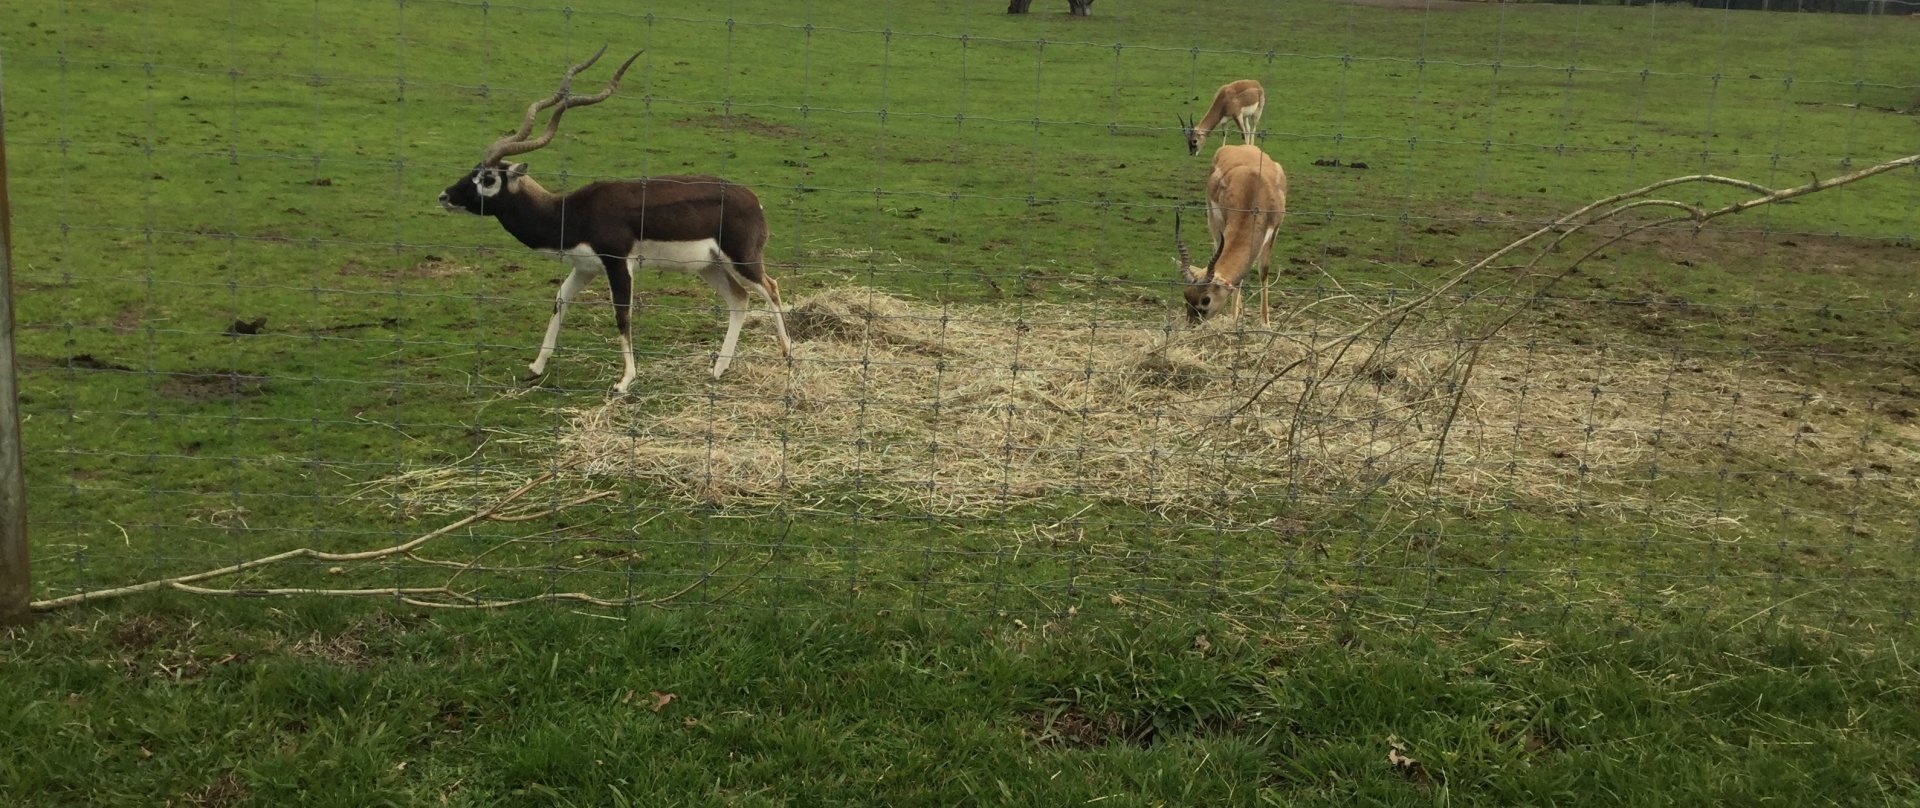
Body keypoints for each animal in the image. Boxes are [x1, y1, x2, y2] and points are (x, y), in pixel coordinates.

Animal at [436, 46, 792, 395]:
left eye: (487, 179)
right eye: (474, 170)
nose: (444, 196)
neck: (569, 212)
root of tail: (753, 200)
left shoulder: (618, 263)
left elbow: (622, 315)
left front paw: (625, 380)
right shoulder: (585, 267)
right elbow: (560, 300)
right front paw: (535, 368)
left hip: (741, 260)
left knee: (770, 287)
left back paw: (787, 353)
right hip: (709, 266)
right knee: (740, 299)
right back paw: (718, 369)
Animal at [1175, 144, 1287, 324]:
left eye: (1206, 299)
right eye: (1186, 295)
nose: (1192, 324)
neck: (1253, 189)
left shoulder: (1274, 230)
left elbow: (1263, 272)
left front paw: (1265, 323)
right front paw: (1234, 318)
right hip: (1213, 220)